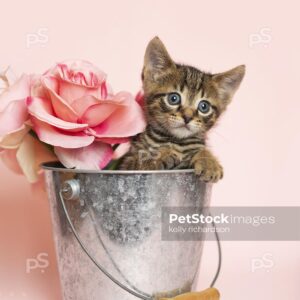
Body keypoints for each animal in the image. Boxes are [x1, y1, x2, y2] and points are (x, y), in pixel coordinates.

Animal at [119, 37, 246, 183]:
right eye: (173, 98)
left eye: (204, 106)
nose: (187, 117)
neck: (177, 142)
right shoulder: (126, 165)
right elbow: (140, 160)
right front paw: (160, 154)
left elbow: (201, 150)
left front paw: (209, 161)